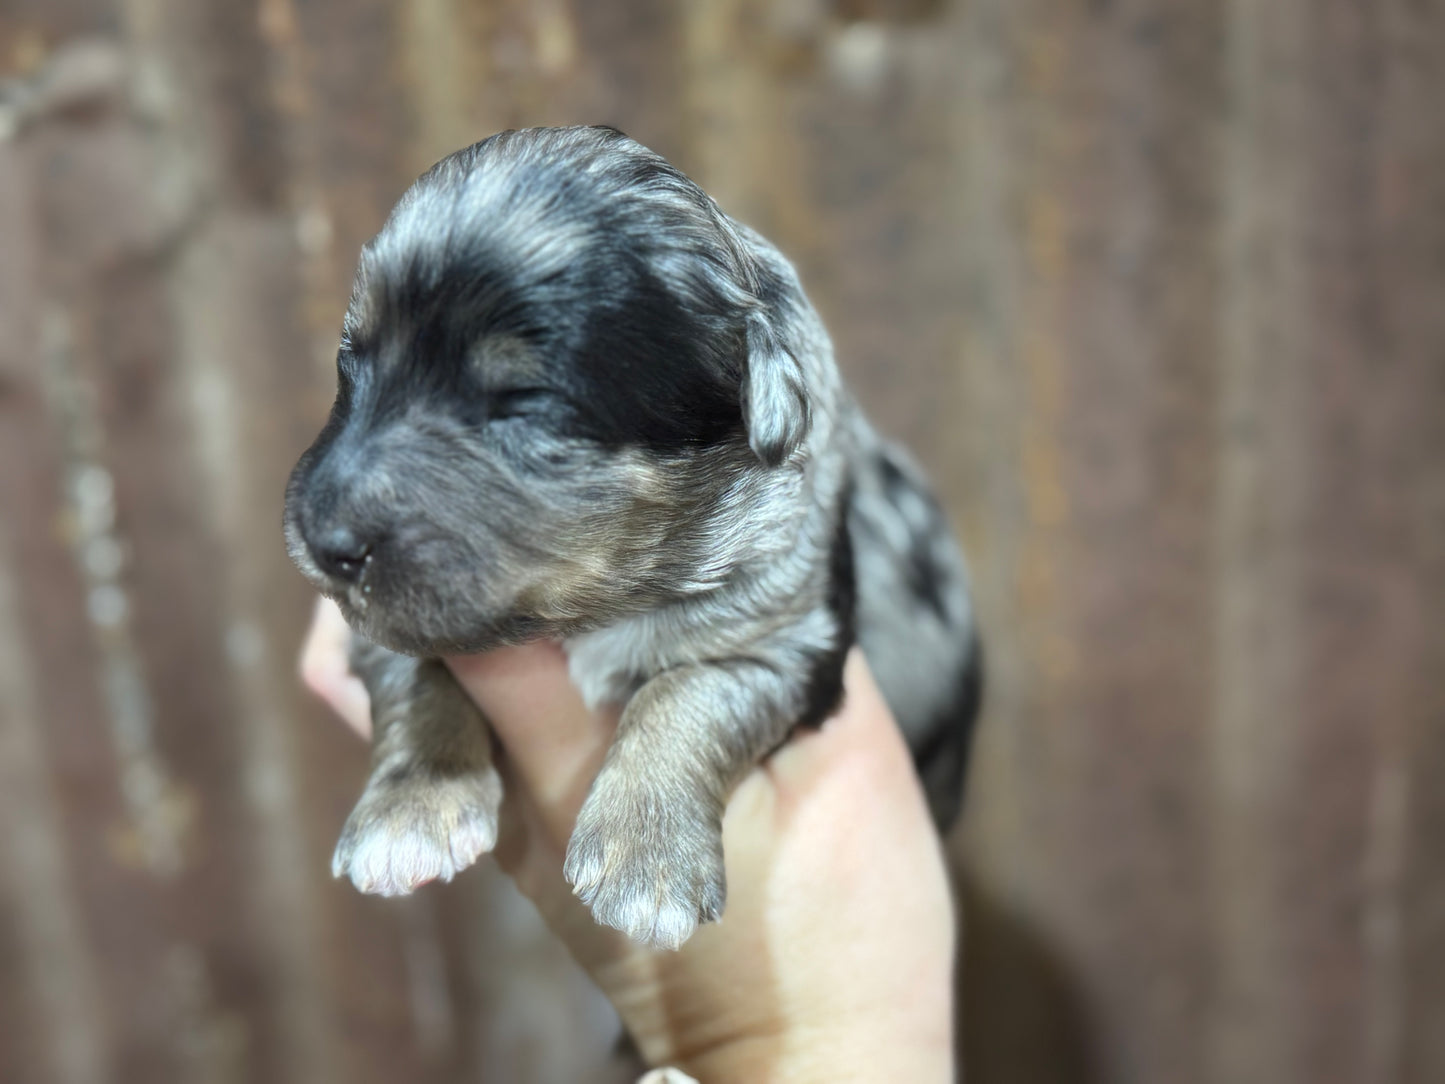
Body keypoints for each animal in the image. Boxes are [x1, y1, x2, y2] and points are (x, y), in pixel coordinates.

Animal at [281, 122, 982, 948]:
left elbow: (685, 691)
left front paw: (644, 855)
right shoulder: (385, 622)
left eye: (521, 401)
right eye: (349, 363)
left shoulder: (785, 631)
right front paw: (408, 806)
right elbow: (414, 669)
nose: (323, 544)